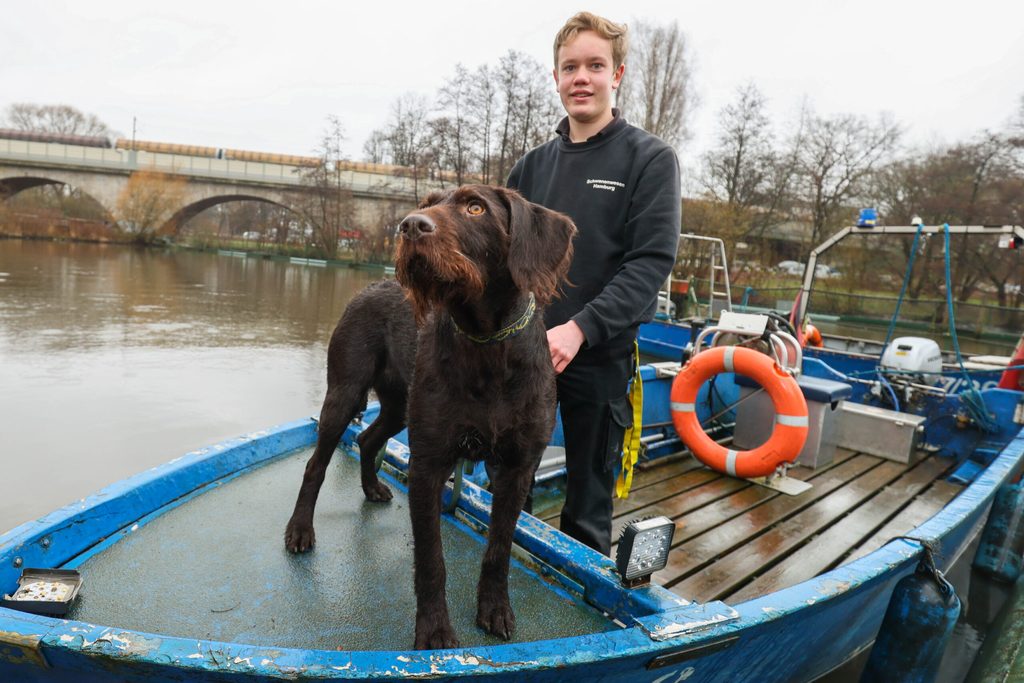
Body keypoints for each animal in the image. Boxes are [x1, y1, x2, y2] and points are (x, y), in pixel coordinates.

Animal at [288, 184, 577, 651]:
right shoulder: (428, 467)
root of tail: (372, 285)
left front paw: (495, 609)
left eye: (476, 207)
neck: (486, 342)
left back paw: (371, 487)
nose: (409, 226)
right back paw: (299, 530)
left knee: (368, 439)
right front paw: (435, 630)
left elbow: (499, 549)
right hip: (343, 395)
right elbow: (431, 561)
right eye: (425, 206)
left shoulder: (517, 470)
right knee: (317, 464)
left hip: (396, 407)